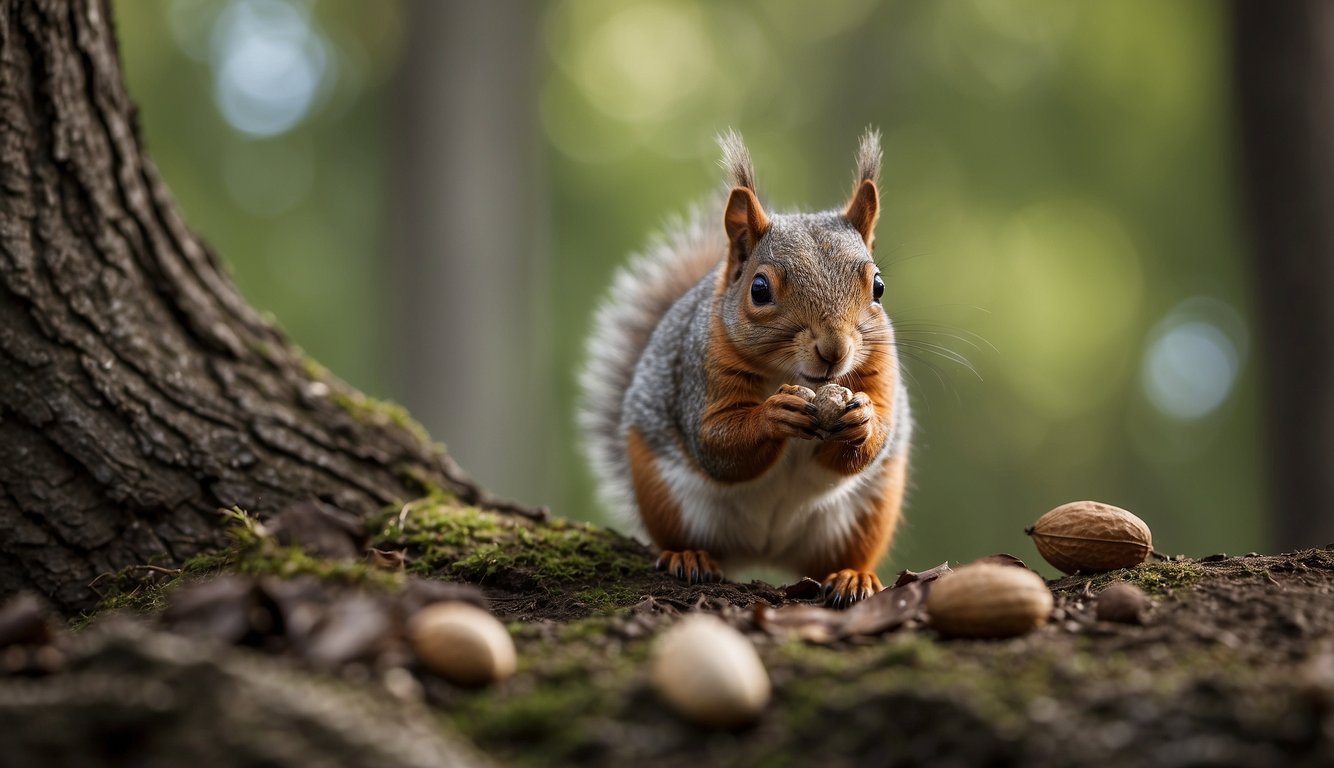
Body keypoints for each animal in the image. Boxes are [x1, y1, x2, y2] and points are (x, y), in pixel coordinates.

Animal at [578, 133, 912, 613]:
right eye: (759, 289)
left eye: (879, 287)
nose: (834, 351)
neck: (802, 379)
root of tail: (765, 549)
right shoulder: (702, 368)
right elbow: (715, 443)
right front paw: (774, 414)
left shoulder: (880, 368)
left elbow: (873, 437)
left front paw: (863, 418)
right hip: (664, 494)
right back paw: (688, 555)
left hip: (869, 512)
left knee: (845, 555)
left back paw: (852, 576)